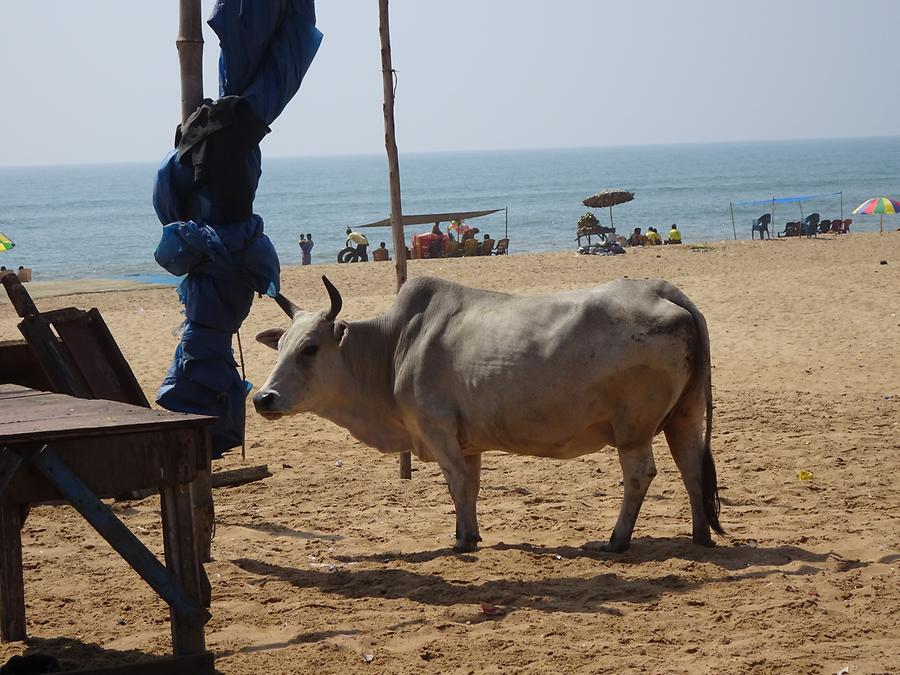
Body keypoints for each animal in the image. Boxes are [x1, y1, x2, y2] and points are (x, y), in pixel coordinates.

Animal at [253, 278, 724, 552]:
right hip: (684, 416)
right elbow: (472, 486)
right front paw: (473, 531)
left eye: (310, 348)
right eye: (281, 346)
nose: (263, 398)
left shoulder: (438, 430)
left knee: (641, 475)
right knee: (692, 468)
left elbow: (457, 485)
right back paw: (700, 535)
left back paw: (617, 539)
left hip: (633, 428)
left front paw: (463, 540)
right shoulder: (468, 442)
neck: (393, 347)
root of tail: (666, 292)